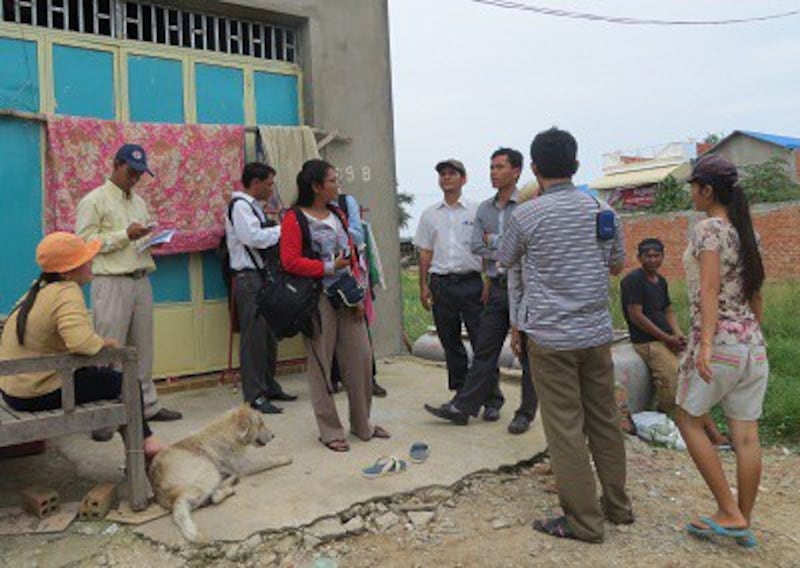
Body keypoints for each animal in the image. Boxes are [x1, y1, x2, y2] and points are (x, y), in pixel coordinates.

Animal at [149, 404, 290, 540]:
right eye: (260, 423)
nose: (273, 435)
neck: (231, 432)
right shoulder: (244, 465)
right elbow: (268, 460)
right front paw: (284, 458)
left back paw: (230, 480)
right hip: (209, 471)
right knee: (212, 497)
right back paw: (228, 486)